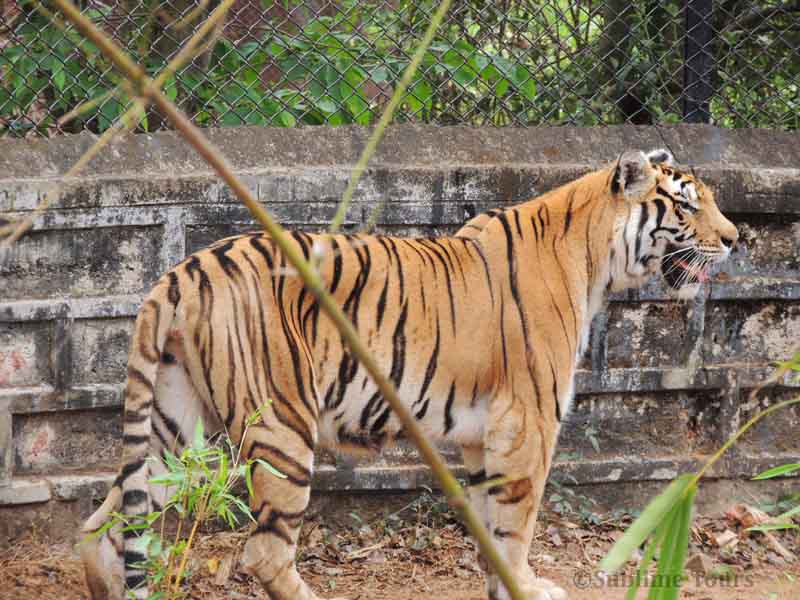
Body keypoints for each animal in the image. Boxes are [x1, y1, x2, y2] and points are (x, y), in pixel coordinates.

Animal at [81, 149, 736, 600]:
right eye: (687, 204)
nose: (734, 239)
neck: (595, 257)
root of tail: (182, 269)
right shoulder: (529, 421)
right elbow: (518, 523)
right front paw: (526, 587)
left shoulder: (483, 434)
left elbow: (491, 525)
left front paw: (502, 585)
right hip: (281, 427)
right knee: (263, 554)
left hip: (174, 423)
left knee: (104, 525)